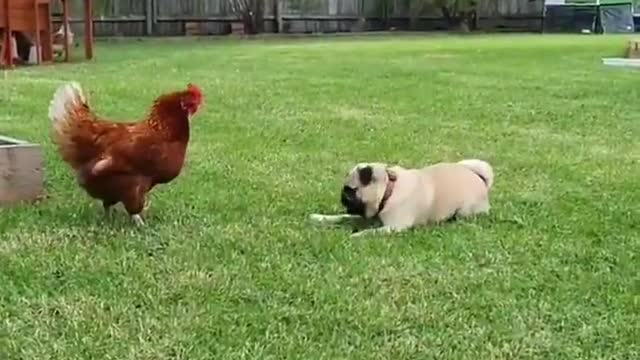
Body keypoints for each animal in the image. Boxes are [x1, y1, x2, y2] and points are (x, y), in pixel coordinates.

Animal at [310, 159, 496, 238]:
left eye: (350, 191)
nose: (342, 197)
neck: (389, 189)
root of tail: (480, 179)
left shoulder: (393, 227)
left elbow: (370, 232)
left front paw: (356, 235)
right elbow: (342, 217)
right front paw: (320, 218)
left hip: (465, 212)